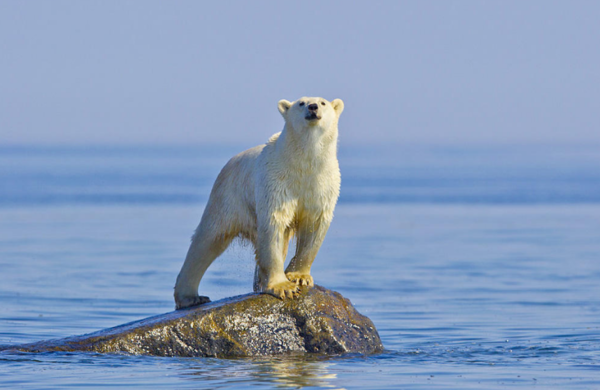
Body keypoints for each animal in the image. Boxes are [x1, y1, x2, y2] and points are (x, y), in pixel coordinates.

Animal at [171, 96, 344, 308]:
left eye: (323, 103)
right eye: (301, 103)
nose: (313, 107)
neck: (304, 164)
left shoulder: (323, 186)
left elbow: (315, 225)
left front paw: (299, 276)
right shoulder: (276, 182)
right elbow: (274, 225)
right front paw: (282, 286)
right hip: (228, 198)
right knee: (208, 239)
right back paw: (191, 297)